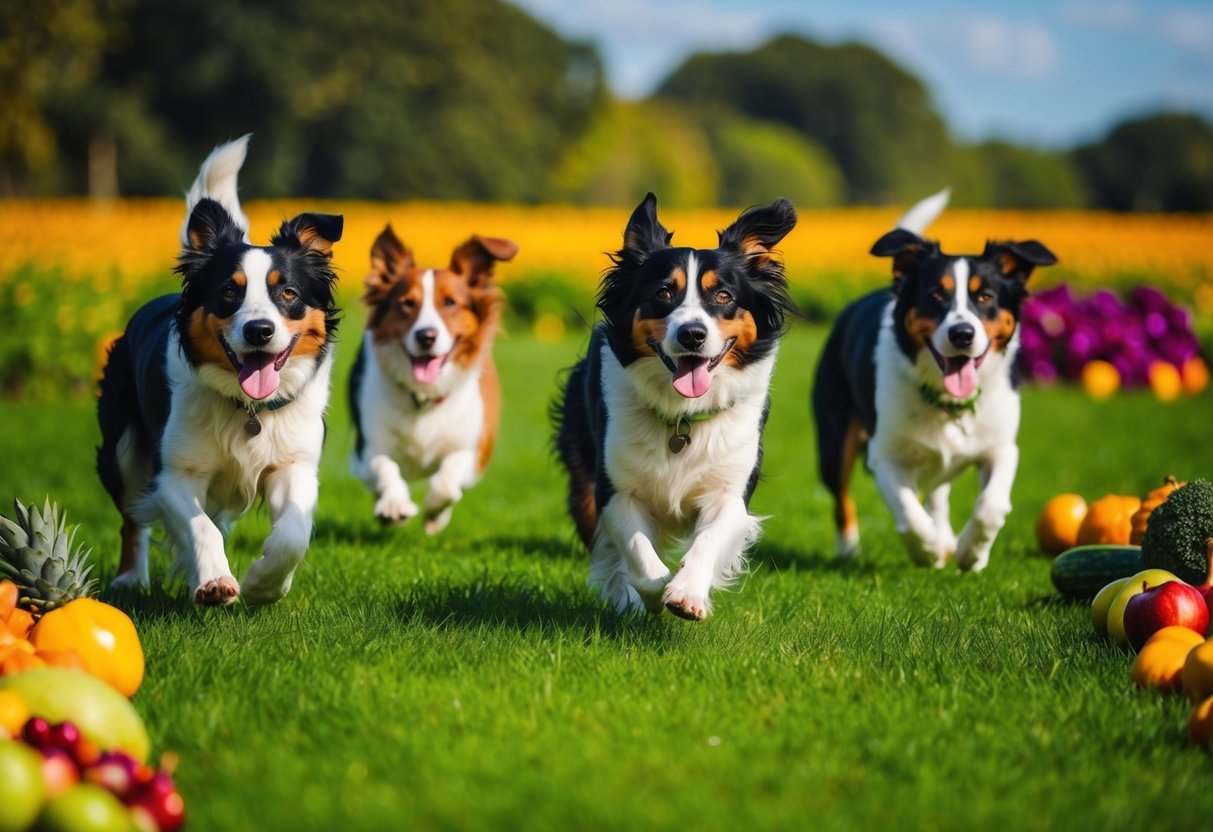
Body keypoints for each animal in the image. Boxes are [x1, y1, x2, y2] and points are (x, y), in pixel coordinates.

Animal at [92, 137, 342, 606]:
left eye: (288, 292)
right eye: (229, 291)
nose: (259, 331)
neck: (249, 409)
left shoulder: (295, 464)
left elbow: (292, 535)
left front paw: (263, 584)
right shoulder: (174, 471)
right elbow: (198, 526)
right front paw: (213, 582)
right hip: (121, 447)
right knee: (133, 516)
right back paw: (131, 578)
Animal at [349, 226, 514, 533]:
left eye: (450, 302)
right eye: (407, 303)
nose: (426, 336)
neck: (423, 394)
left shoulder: (473, 451)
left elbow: (448, 480)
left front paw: (435, 513)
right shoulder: (365, 450)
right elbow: (385, 466)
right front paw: (393, 506)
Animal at [553, 194, 795, 618]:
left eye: (723, 297)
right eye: (663, 293)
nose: (692, 335)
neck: (683, 415)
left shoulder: (730, 488)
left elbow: (709, 540)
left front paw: (686, 593)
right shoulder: (615, 490)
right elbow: (639, 556)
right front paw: (652, 592)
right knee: (606, 552)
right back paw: (626, 599)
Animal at [810, 192, 1057, 572]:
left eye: (985, 297)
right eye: (934, 295)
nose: (962, 334)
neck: (947, 401)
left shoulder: (1001, 447)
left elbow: (991, 506)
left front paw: (972, 553)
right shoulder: (885, 455)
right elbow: (908, 512)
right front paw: (927, 550)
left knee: (939, 491)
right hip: (834, 439)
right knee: (842, 499)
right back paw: (850, 550)